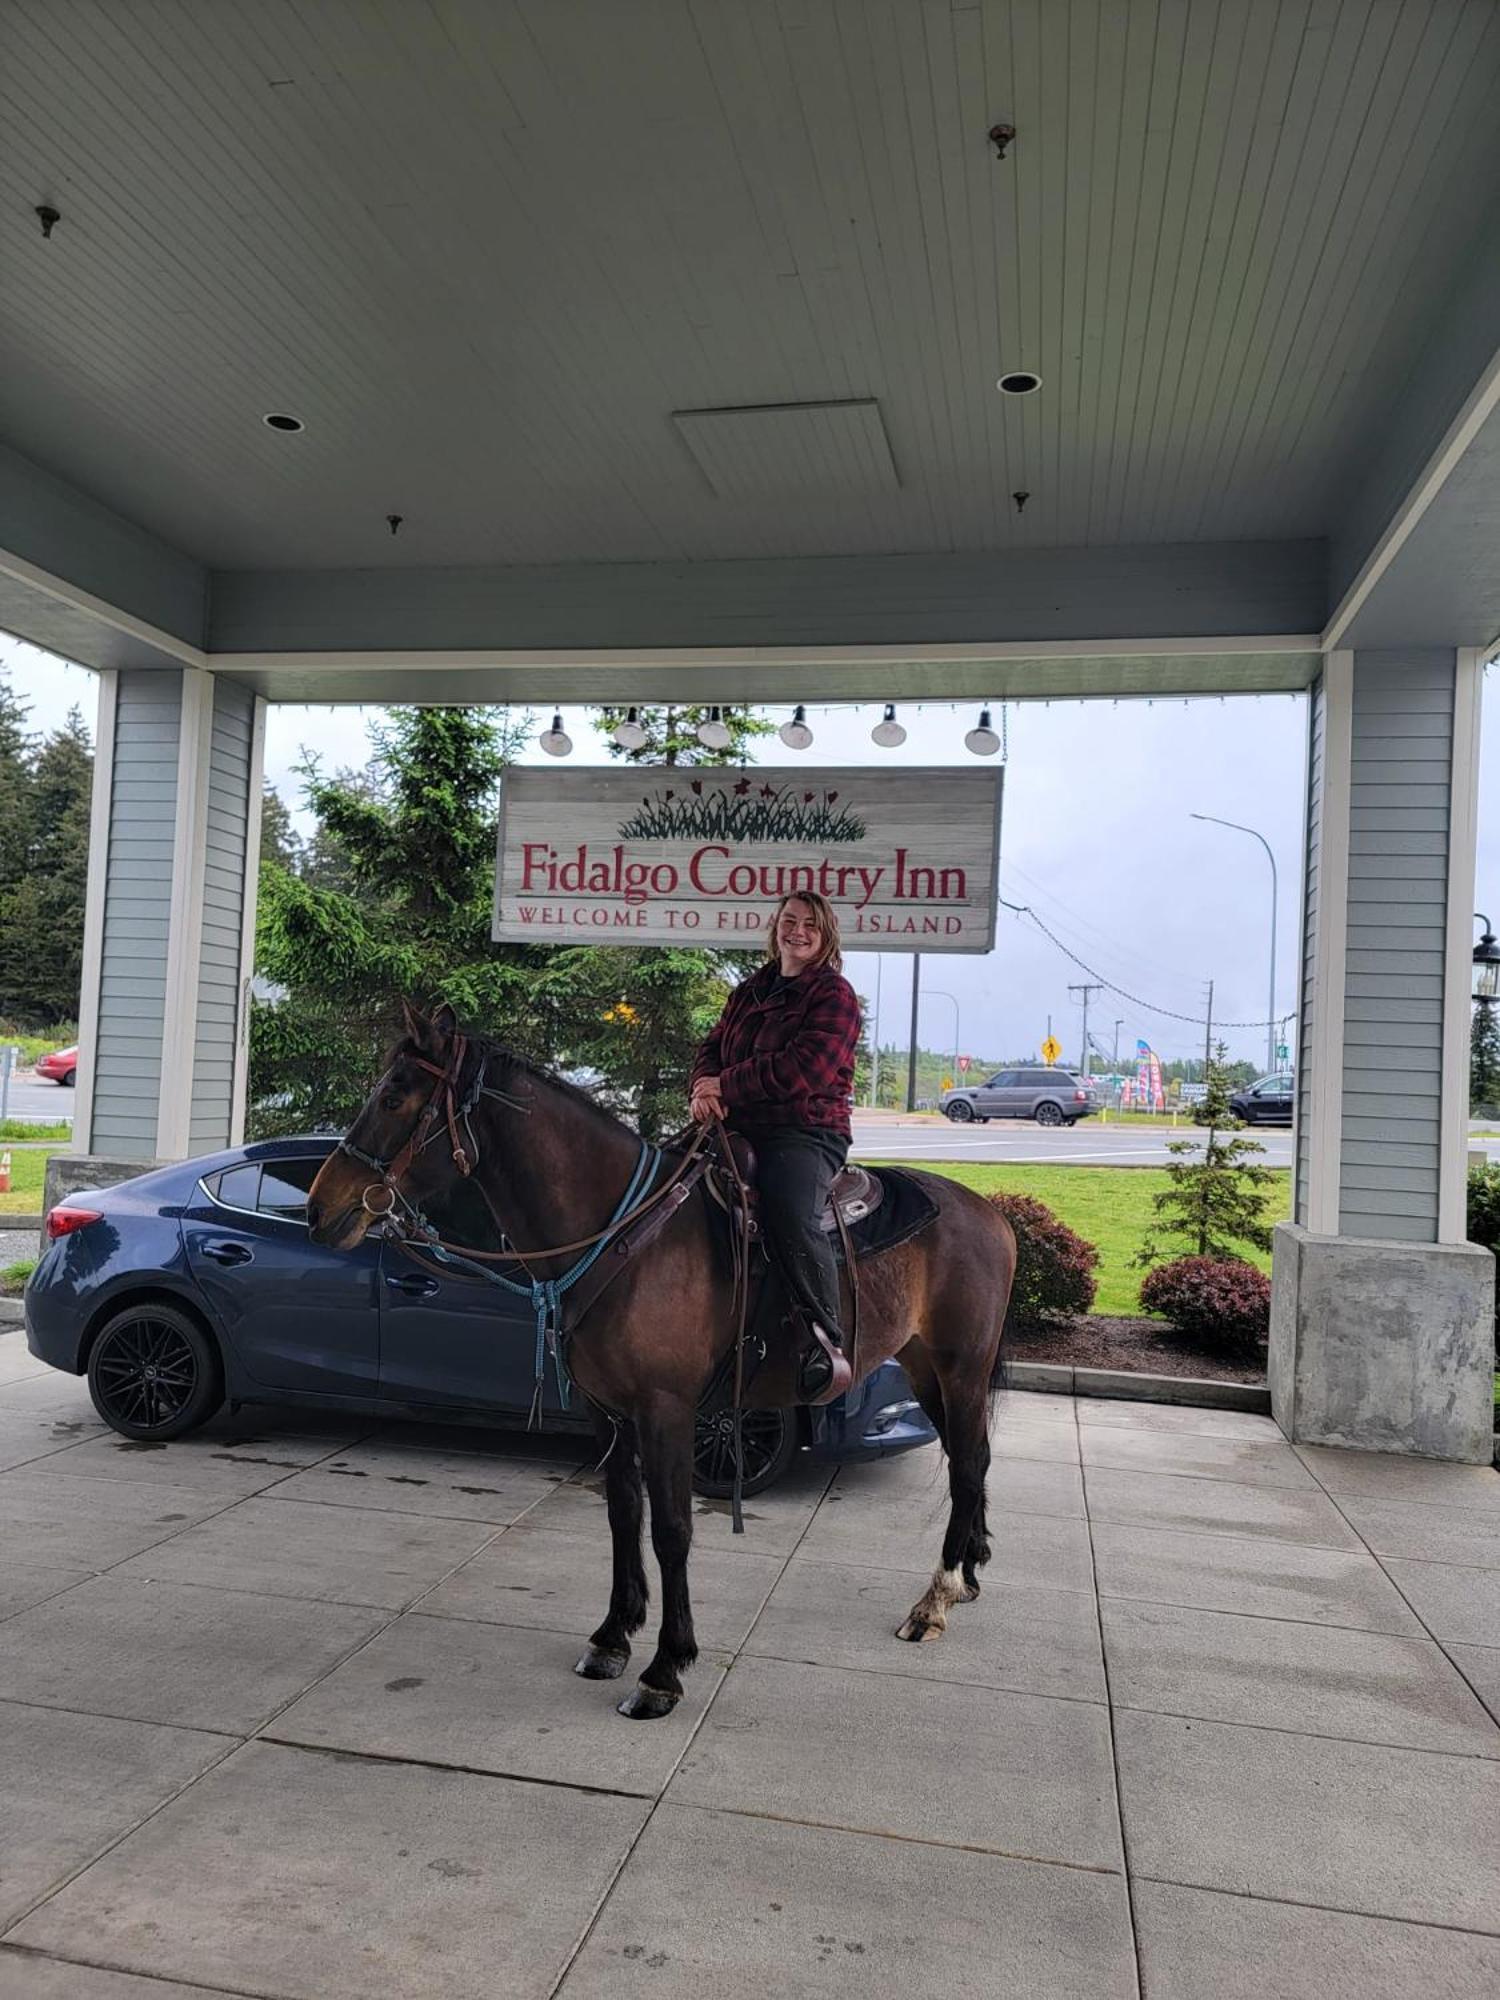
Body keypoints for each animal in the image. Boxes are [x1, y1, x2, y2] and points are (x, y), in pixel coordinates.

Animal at [310, 1000, 1024, 1720]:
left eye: (395, 1096)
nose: (320, 1207)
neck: (625, 1238)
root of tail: (990, 1213)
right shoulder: (608, 1414)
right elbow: (624, 1515)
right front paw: (613, 1637)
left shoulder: (666, 1410)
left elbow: (672, 1529)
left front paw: (665, 1669)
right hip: (924, 1367)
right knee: (971, 1458)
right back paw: (967, 1575)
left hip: (960, 1368)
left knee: (967, 1466)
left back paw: (935, 1600)